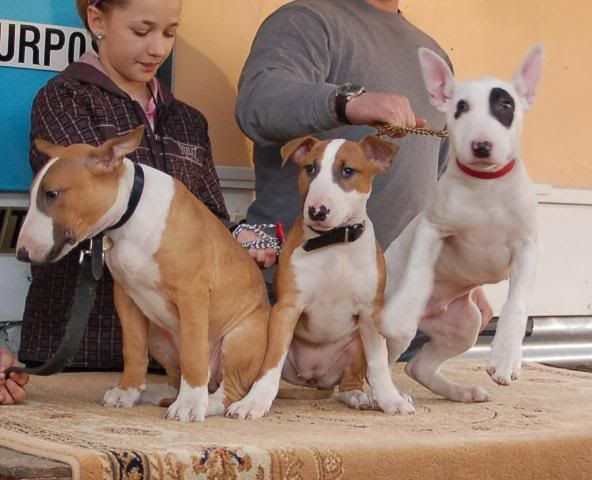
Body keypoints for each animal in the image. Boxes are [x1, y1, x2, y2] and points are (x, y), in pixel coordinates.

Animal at [16, 126, 270, 422]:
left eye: (52, 194)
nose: (21, 253)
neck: (131, 214)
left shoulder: (192, 295)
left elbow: (194, 355)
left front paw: (189, 406)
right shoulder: (126, 297)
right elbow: (133, 349)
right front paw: (127, 391)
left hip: (240, 337)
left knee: (229, 389)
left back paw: (205, 402)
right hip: (159, 337)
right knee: (176, 378)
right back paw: (158, 394)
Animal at [226, 135, 416, 419]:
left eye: (348, 171)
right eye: (310, 168)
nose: (317, 211)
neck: (333, 243)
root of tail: (314, 377)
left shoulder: (370, 312)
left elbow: (379, 363)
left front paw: (391, 399)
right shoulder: (287, 309)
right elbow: (271, 361)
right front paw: (254, 402)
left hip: (356, 343)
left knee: (352, 381)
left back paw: (361, 397)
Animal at [380, 45, 544, 403]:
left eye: (505, 105)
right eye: (461, 107)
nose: (481, 146)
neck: (485, 186)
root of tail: (429, 315)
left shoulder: (527, 247)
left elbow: (517, 302)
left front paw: (505, 357)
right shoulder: (432, 227)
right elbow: (419, 271)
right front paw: (402, 311)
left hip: (465, 324)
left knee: (418, 367)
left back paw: (462, 392)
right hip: (392, 327)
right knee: (378, 360)